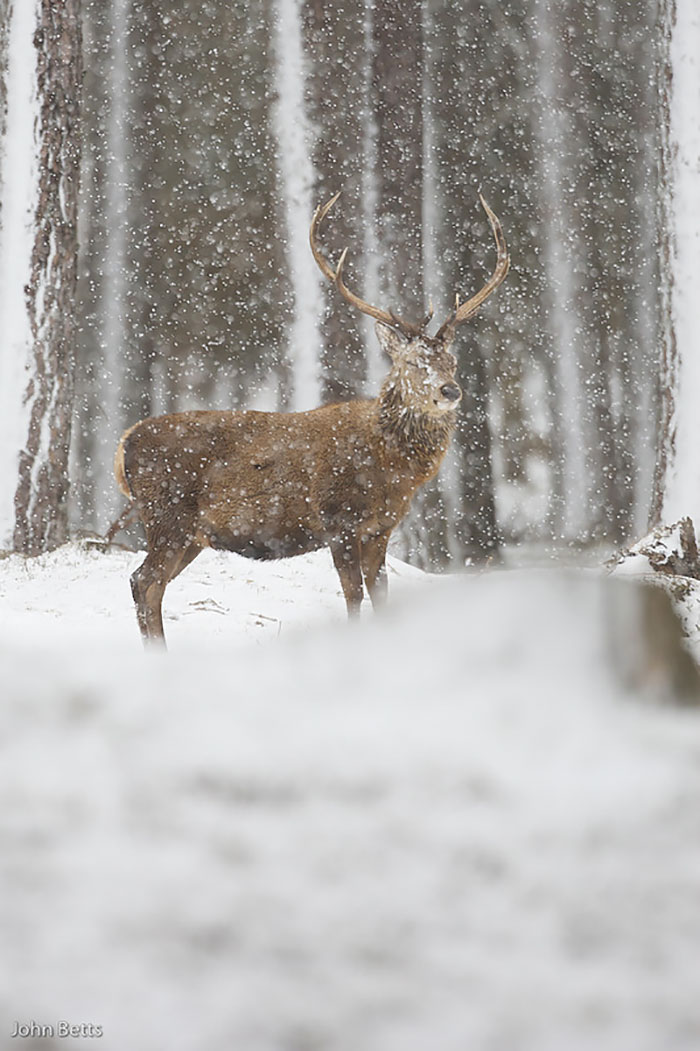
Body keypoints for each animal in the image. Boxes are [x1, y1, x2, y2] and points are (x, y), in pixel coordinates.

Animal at [113, 193, 509, 644]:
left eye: (452, 362)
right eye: (412, 363)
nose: (450, 391)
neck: (389, 466)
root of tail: (125, 443)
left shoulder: (381, 527)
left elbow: (381, 594)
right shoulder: (340, 520)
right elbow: (353, 595)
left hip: (190, 532)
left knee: (147, 583)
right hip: (168, 514)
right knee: (145, 580)